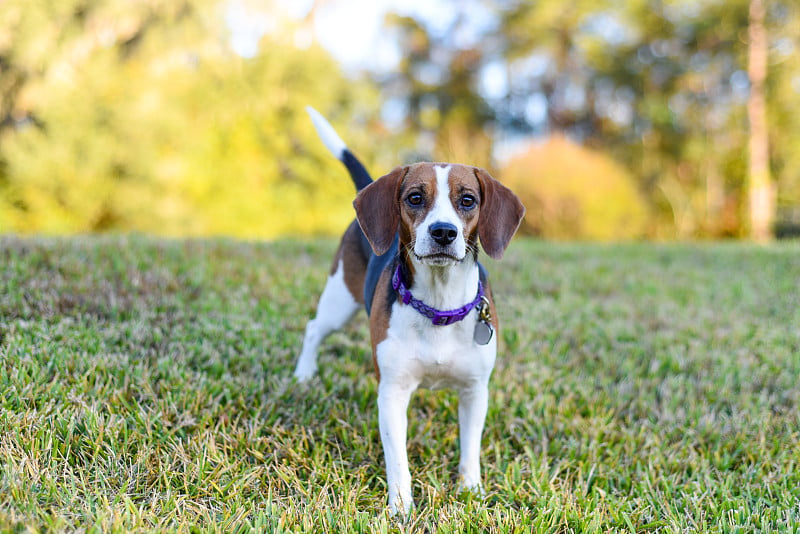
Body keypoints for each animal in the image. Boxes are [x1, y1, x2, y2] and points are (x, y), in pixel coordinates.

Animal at [294, 108, 524, 516]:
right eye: (415, 197)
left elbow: (470, 449)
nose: (444, 231)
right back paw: (304, 374)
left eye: (467, 200)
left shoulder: (474, 390)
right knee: (313, 328)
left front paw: (471, 490)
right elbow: (398, 458)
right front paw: (401, 506)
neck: (439, 306)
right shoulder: (392, 393)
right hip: (339, 301)